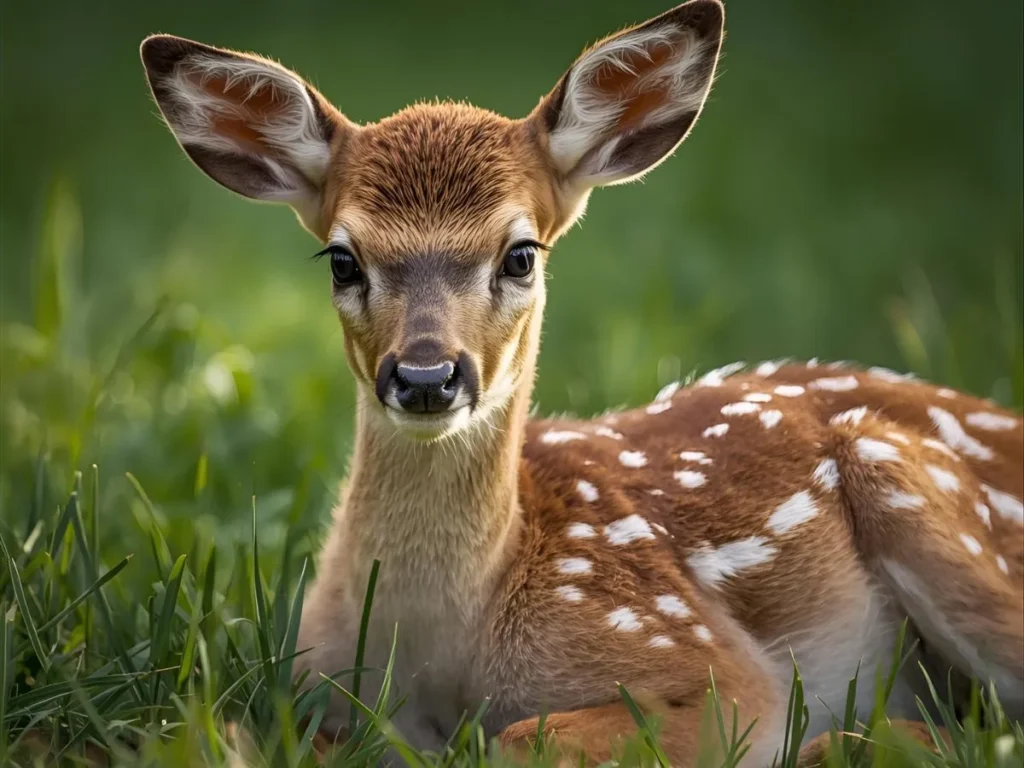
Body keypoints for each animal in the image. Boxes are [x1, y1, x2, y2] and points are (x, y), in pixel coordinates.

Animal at [139, 1, 1024, 763]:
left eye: (520, 254)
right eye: (342, 259)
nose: (426, 376)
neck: (447, 644)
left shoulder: (707, 664)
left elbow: (522, 736)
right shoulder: (309, 685)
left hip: (912, 484)